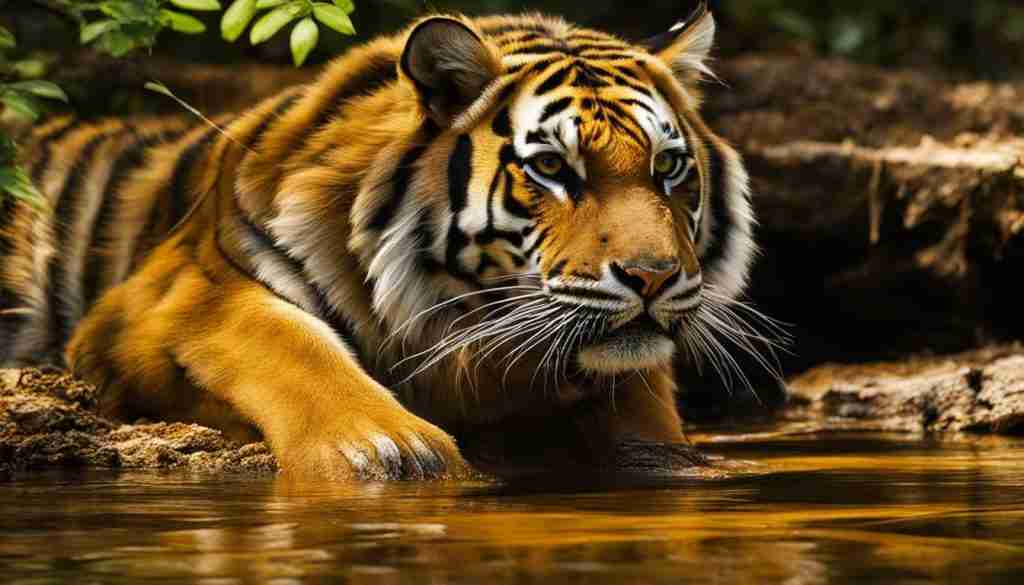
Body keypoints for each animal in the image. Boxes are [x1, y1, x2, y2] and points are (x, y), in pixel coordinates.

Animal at [0, 2, 757, 479]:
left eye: (668, 167)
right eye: (551, 167)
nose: (653, 277)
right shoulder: (177, 290)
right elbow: (281, 339)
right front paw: (389, 449)